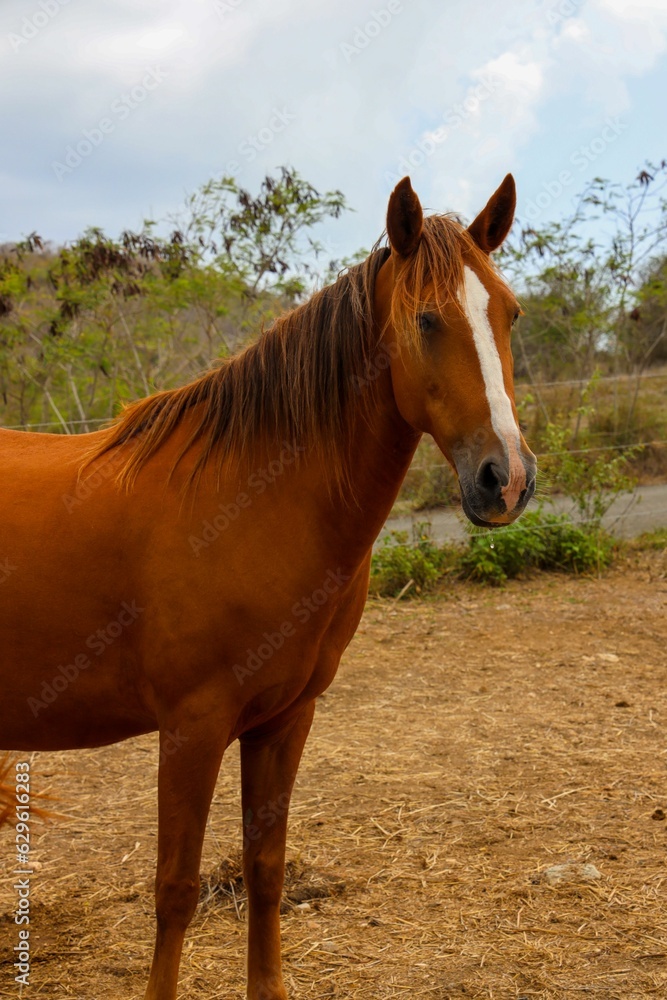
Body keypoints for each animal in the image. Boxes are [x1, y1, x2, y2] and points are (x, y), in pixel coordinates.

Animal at [0, 176, 532, 996]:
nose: (503, 480)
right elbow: (176, 889)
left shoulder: (283, 720)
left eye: (509, 312)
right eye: (426, 318)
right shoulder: (191, 729)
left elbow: (266, 868)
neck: (251, 499)